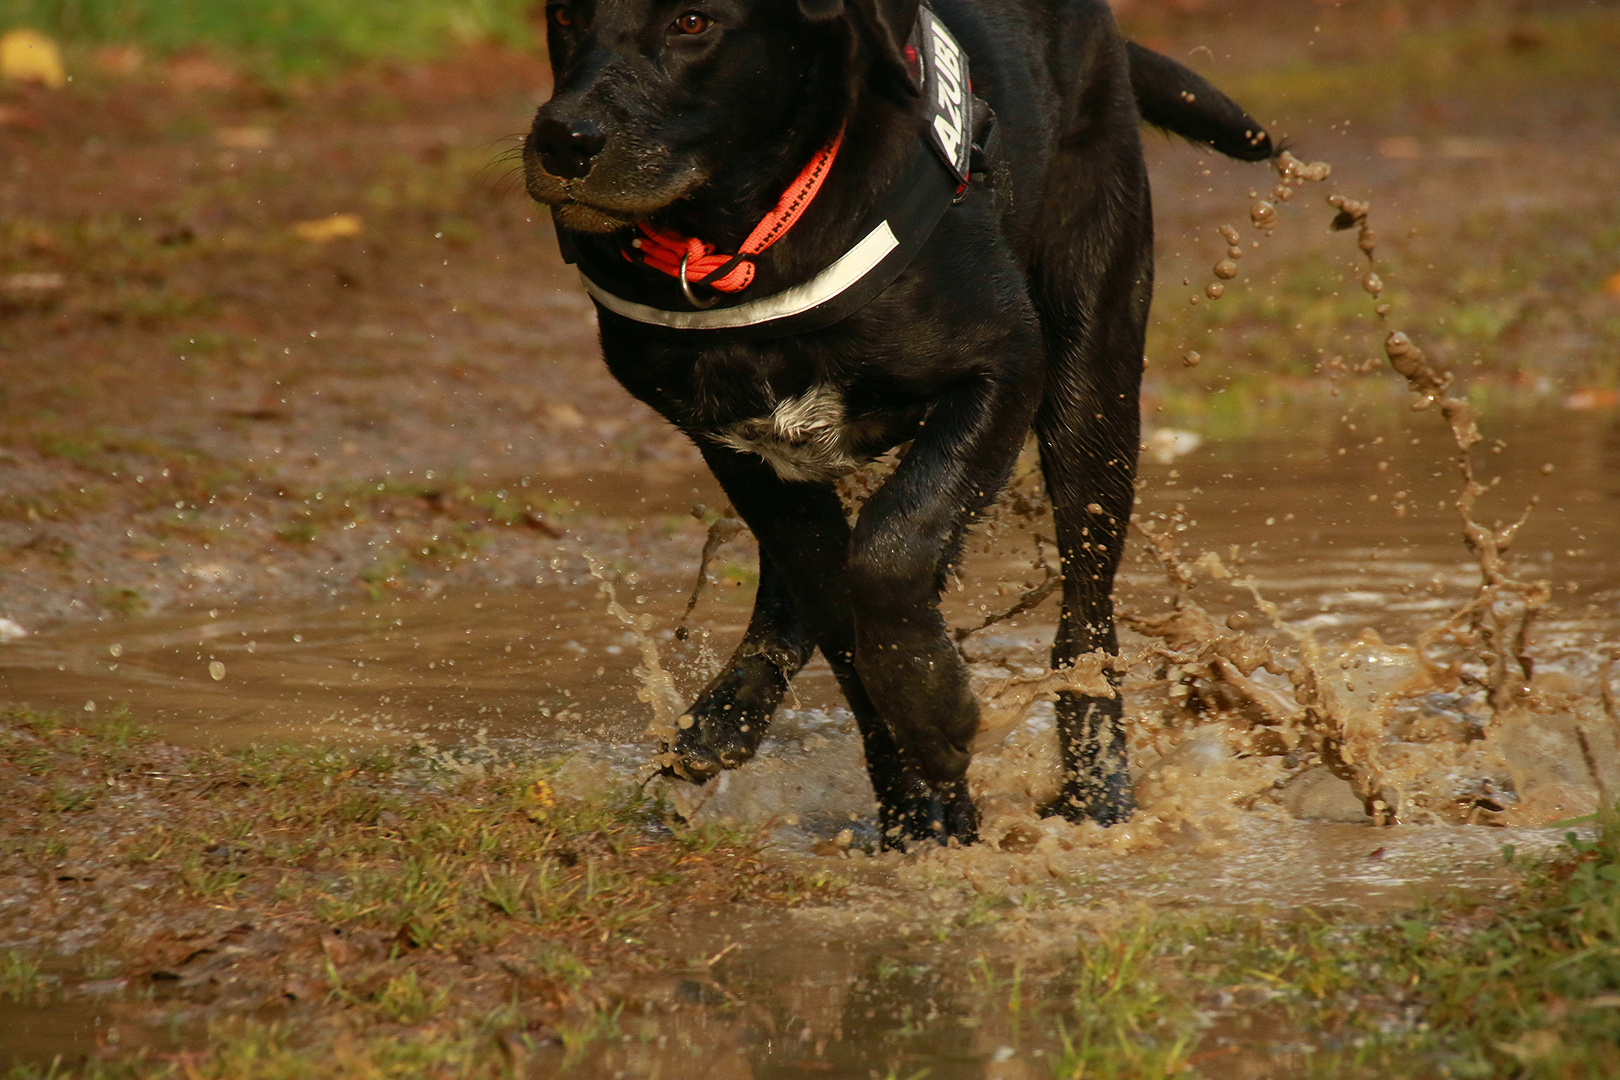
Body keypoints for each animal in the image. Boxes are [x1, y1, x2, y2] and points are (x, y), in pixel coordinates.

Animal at [524, 0, 1270, 848]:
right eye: (562, 14)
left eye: (691, 21)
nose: (563, 139)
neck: (752, 237)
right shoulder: (743, 451)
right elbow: (844, 621)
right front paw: (918, 811)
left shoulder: (1005, 369)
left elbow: (892, 550)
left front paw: (934, 709)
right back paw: (726, 718)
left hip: (1093, 374)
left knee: (1085, 614)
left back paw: (1098, 793)